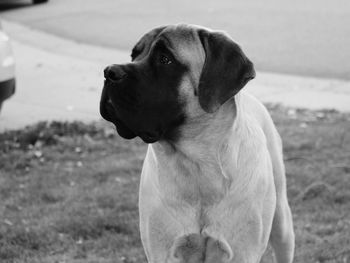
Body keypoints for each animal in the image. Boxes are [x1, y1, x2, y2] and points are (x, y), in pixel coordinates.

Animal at [100, 24, 296, 263]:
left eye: (165, 59)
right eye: (134, 55)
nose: (109, 72)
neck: (196, 166)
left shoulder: (242, 252)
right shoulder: (162, 251)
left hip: (282, 223)